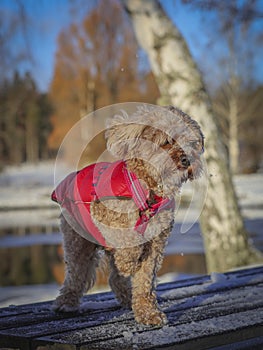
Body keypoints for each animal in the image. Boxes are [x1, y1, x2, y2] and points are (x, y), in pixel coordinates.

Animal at [51, 104, 204, 326]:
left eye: (191, 143)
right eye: (166, 141)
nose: (187, 160)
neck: (147, 192)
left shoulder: (156, 244)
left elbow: (145, 281)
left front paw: (148, 313)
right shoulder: (104, 217)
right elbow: (128, 241)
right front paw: (129, 261)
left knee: (115, 278)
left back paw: (126, 296)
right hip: (78, 242)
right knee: (76, 273)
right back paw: (66, 303)